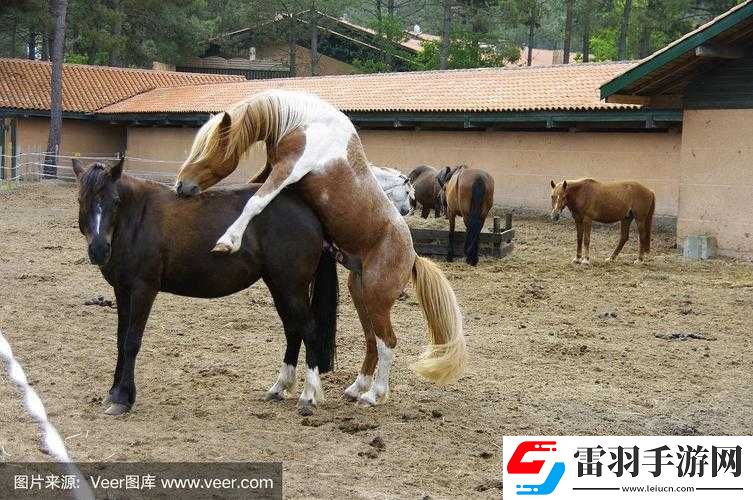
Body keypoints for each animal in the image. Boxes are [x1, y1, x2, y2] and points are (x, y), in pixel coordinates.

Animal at [72, 159, 339, 416]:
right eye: (81, 199)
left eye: (115, 201)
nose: (99, 250)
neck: (137, 219)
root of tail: (309, 212)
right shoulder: (122, 290)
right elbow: (120, 340)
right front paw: (114, 392)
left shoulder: (142, 290)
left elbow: (131, 342)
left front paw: (123, 399)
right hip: (279, 286)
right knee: (293, 330)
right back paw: (279, 388)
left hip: (292, 287)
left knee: (309, 331)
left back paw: (308, 396)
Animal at [175, 89, 466, 407]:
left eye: (208, 148)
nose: (181, 186)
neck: (305, 123)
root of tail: (412, 255)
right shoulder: (271, 169)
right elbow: (250, 190)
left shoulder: (286, 171)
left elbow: (255, 201)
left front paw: (227, 241)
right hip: (361, 294)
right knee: (371, 340)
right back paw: (356, 388)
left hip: (377, 299)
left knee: (387, 342)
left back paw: (374, 395)